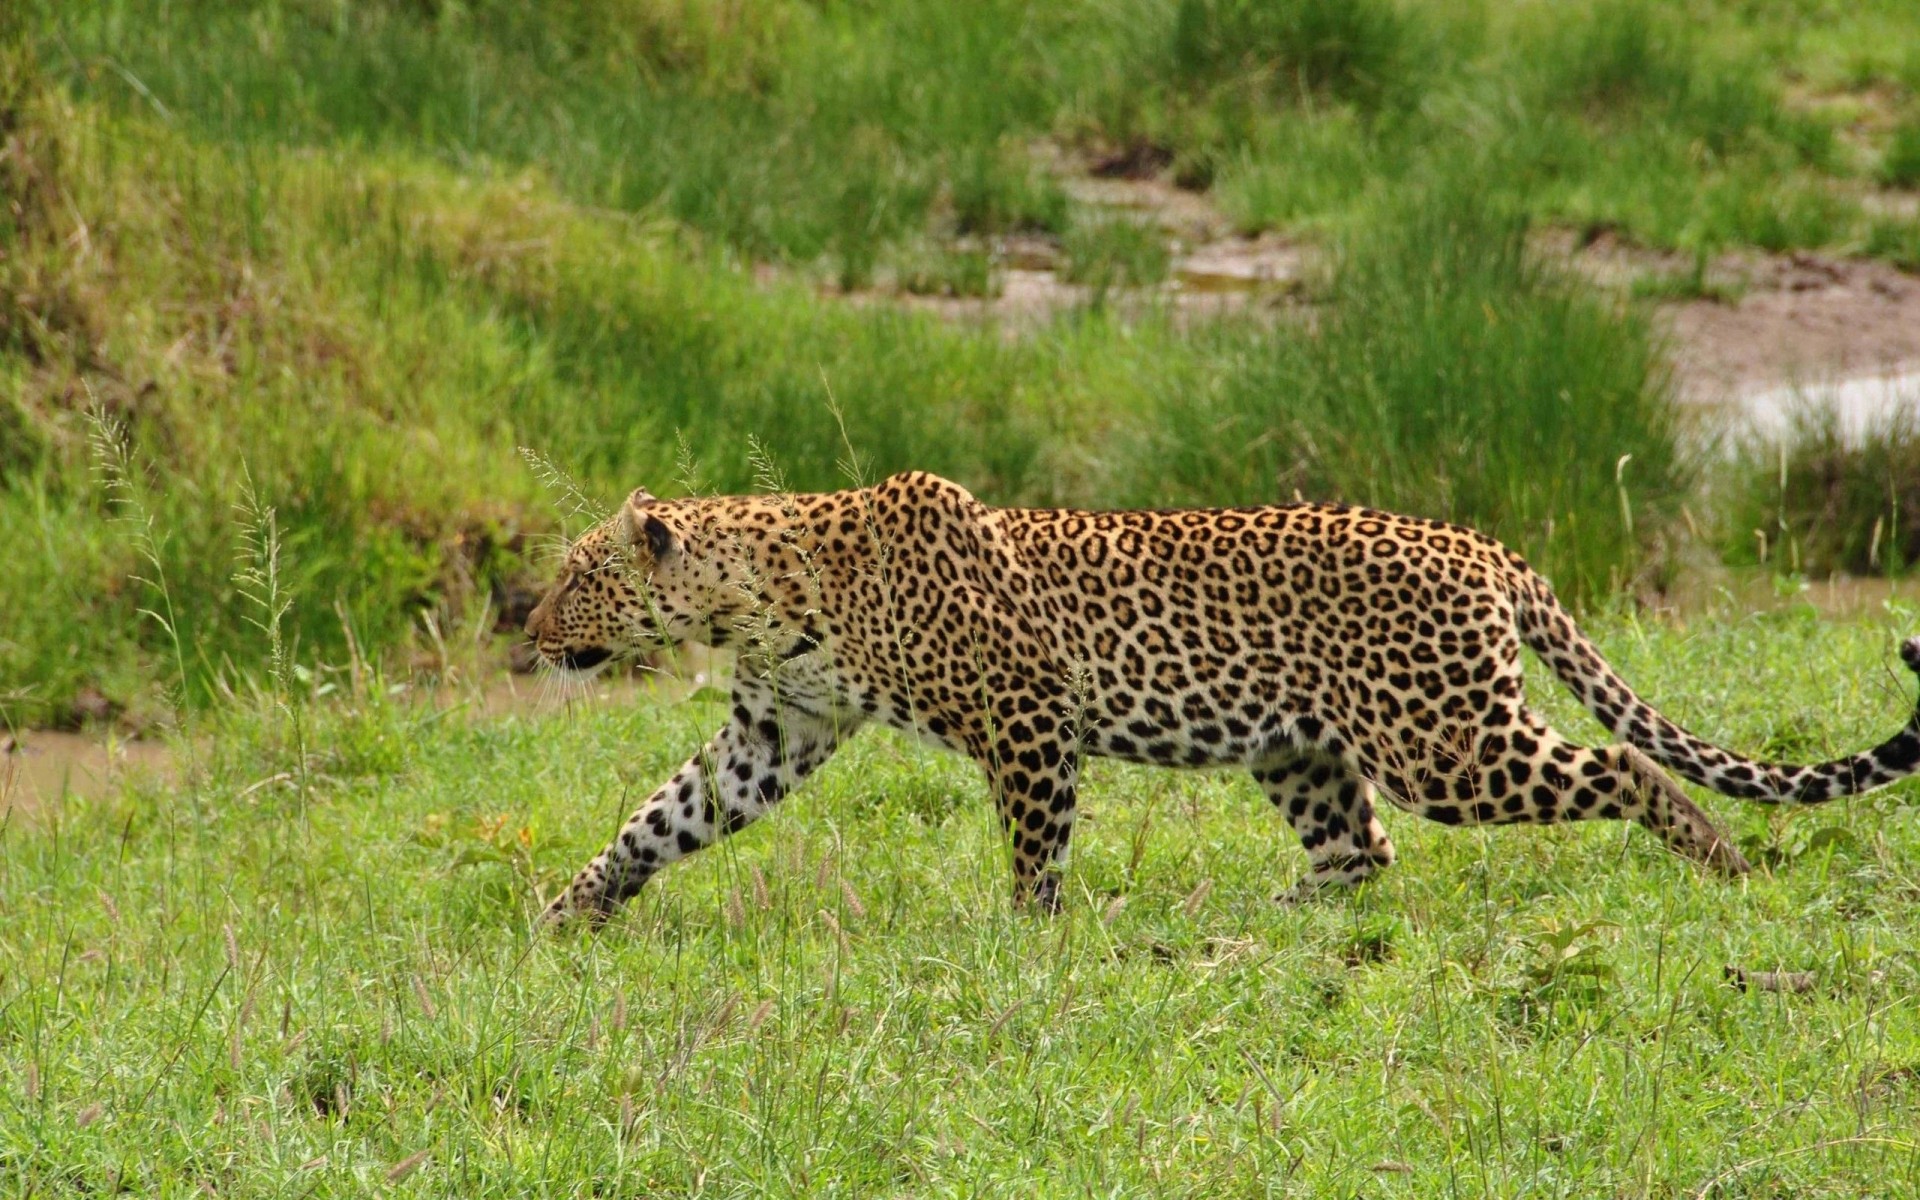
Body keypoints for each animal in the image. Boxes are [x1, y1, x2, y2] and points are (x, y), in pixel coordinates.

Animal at [526, 470, 1920, 926]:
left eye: (578, 578)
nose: (528, 632)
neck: (756, 592)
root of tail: (1485, 545)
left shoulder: (1028, 721)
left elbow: (1033, 850)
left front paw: (1029, 941)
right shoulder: (778, 729)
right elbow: (664, 816)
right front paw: (569, 913)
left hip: (1443, 739)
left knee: (1622, 769)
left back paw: (1725, 866)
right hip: (1301, 748)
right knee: (1361, 852)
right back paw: (1265, 915)